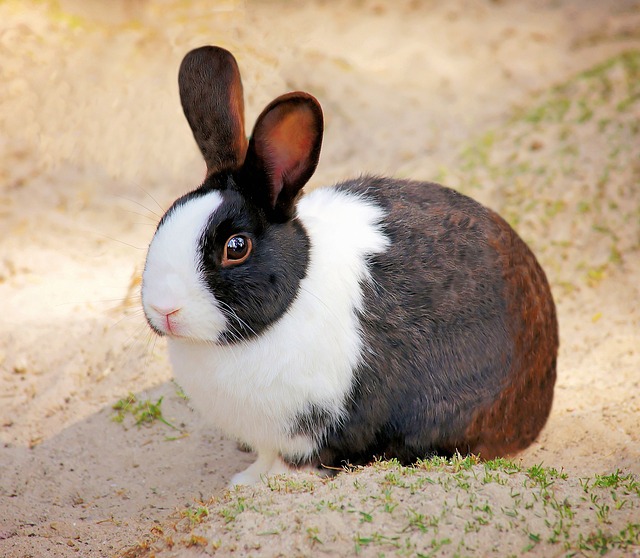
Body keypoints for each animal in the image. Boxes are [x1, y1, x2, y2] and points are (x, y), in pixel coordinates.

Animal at [139, 46, 556, 488]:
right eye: (163, 220)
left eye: (236, 247)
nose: (165, 310)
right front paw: (247, 481)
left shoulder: (316, 426)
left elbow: (302, 460)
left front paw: (272, 485)